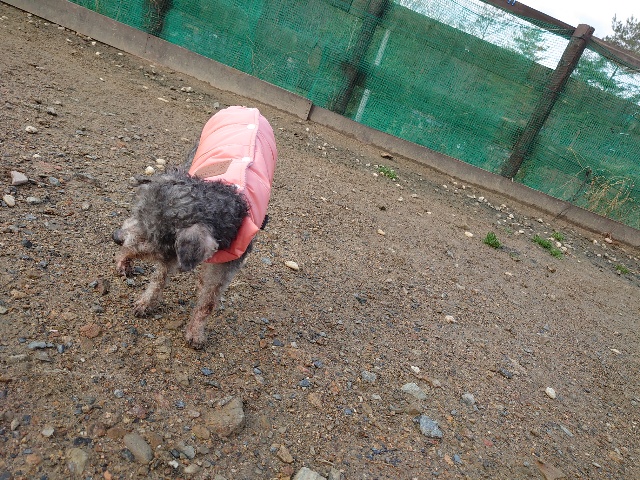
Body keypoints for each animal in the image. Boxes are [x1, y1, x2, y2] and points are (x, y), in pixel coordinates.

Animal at [113, 106, 277, 348]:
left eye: (151, 234)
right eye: (136, 212)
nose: (116, 237)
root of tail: (248, 108)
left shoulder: (226, 265)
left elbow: (208, 302)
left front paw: (196, 332)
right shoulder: (170, 254)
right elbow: (158, 278)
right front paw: (146, 302)